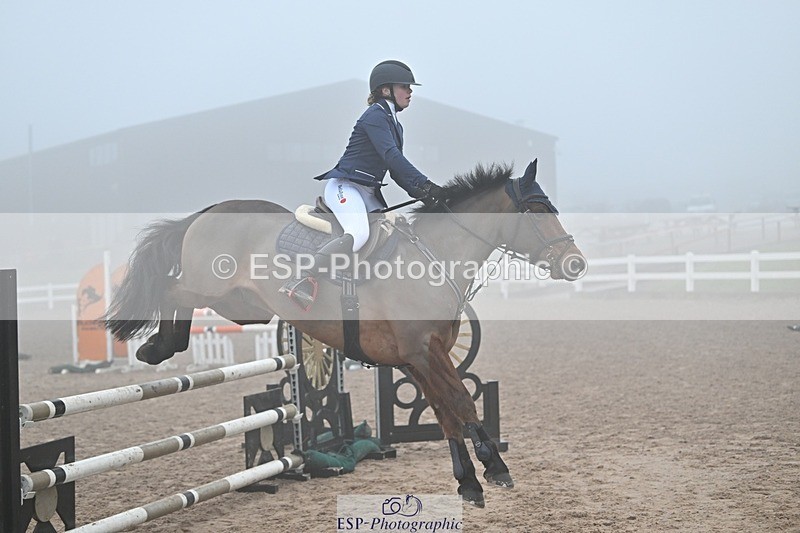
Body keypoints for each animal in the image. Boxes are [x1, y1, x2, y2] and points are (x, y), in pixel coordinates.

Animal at [105, 159, 586, 507]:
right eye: (538, 211)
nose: (576, 264)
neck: (436, 258)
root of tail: (210, 210)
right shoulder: (425, 353)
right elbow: (463, 403)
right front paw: (494, 468)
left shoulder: (420, 359)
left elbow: (448, 412)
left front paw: (470, 482)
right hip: (213, 288)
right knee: (171, 288)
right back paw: (156, 348)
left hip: (243, 308)